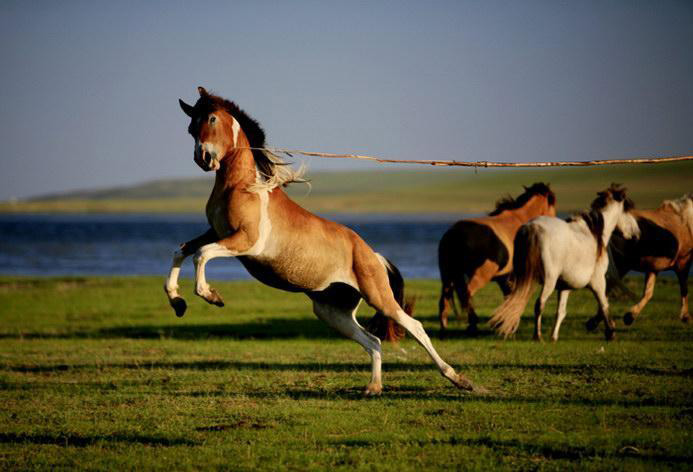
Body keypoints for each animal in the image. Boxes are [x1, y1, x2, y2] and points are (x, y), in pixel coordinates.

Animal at [163, 87, 478, 394]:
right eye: (191, 127)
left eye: (212, 119)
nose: (203, 158)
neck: (243, 186)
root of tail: (372, 254)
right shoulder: (215, 233)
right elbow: (182, 251)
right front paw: (178, 302)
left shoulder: (245, 241)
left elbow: (201, 254)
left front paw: (211, 295)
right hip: (332, 312)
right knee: (373, 341)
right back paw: (373, 388)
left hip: (378, 297)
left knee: (415, 327)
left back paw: (460, 380)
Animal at [438, 183, 556, 334]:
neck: (520, 219)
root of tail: (454, 235)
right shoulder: (513, 275)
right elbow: (511, 296)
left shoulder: (503, 277)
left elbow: (507, 295)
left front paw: (503, 323)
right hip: (478, 276)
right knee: (467, 294)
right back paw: (472, 325)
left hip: (448, 276)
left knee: (444, 300)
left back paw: (444, 328)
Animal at [486, 183, 636, 342]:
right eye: (627, 209)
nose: (635, 233)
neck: (594, 234)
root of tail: (533, 227)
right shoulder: (598, 282)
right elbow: (604, 304)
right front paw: (610, 332)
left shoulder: (565, 287)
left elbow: (561, 312)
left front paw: (554, 336)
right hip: (549, 281)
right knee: (539, 304)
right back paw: (537, 336)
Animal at [604, 194, 688, 326]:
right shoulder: (683, 261)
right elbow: (684, 287)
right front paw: (685, 316)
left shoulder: (654, 267)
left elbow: (648, 292)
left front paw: (630, 316)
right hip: (621, 266)